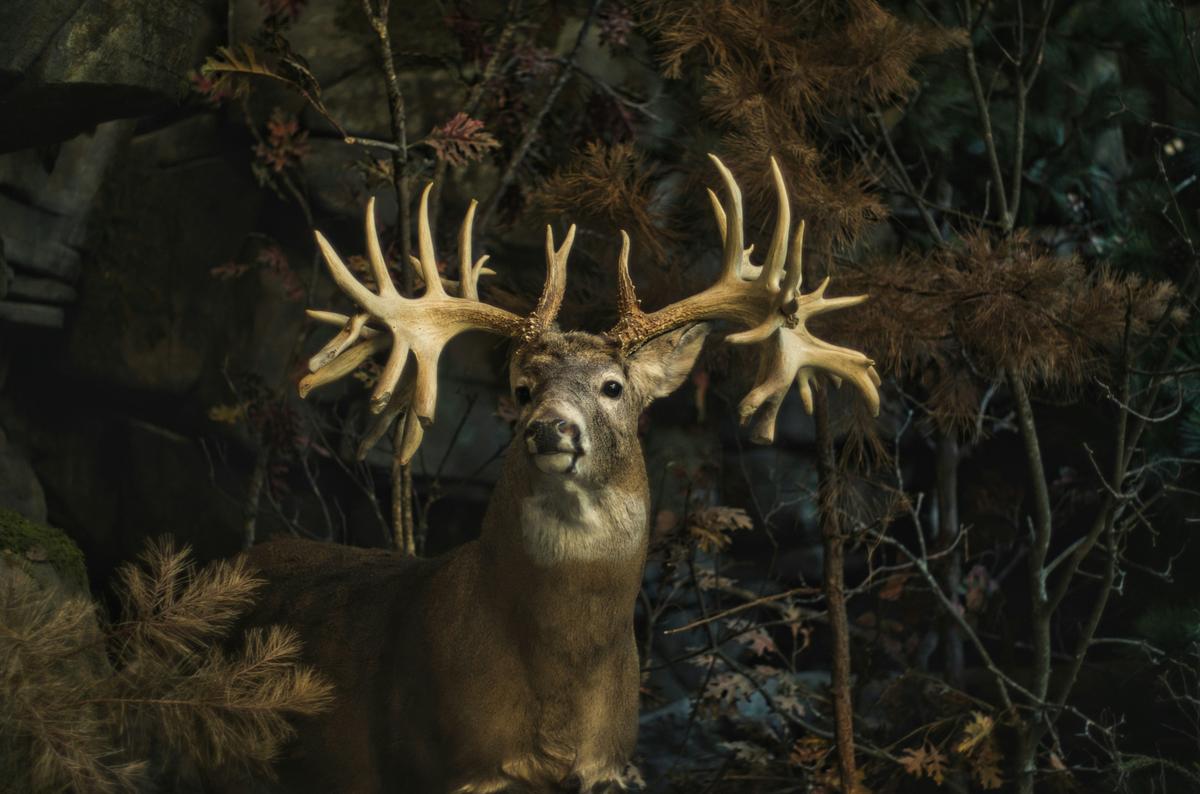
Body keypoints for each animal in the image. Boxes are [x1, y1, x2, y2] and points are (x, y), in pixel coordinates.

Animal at [237, 155, 881, 793]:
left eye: (613, 387)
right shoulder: (455, 765)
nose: (550, 429)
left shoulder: (610, 764)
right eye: (524, 390)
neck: (563, 686)